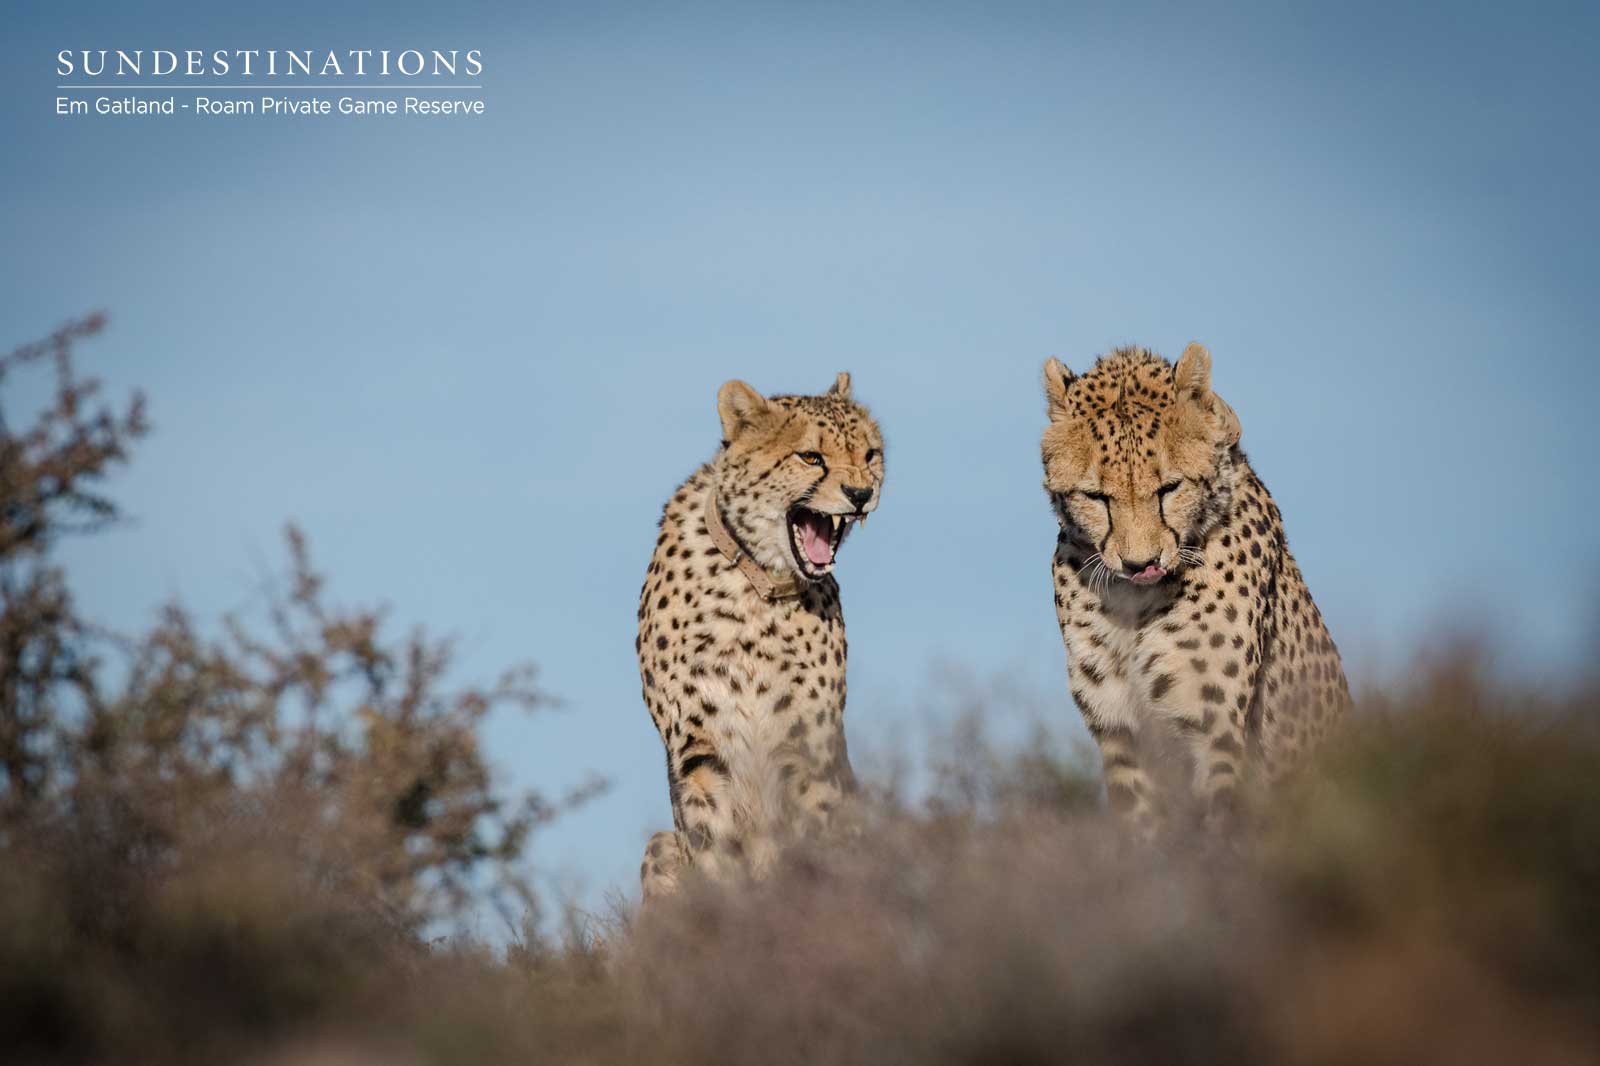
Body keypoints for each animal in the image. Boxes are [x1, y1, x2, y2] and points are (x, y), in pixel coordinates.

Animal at [636, 372, 884, 900]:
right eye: (810, 457)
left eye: (871, 453)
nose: (860, 493)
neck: (758, 589)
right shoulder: (699, 751)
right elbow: (714, 846)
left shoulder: (807, 746)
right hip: (659, 846)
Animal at [1040, 342, 1348, 835]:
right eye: (1096, 497)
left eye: (1170, 488)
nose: (1140, 563)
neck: (1136, 603)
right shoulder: (1119, 732)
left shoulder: (1214, 729)